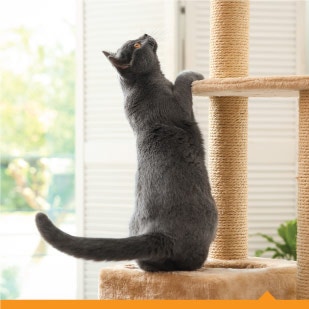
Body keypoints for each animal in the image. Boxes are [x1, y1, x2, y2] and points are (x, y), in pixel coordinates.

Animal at [35, 33, 217, 270]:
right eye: (137, 45)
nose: (146, 34)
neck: (140, 85)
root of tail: (159, 234)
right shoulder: (180, 106)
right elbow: (181, 79)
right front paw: (195, 74)